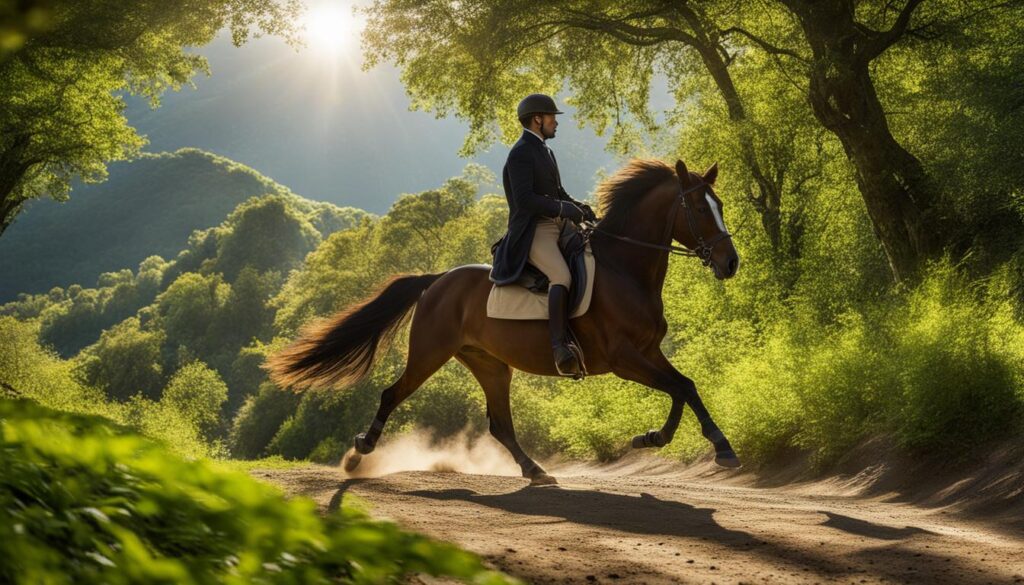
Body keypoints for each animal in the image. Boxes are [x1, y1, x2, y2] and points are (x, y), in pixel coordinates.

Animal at [262, 158, 745, 485]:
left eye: (719, 204)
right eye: (699, 209)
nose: (731, 262)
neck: (623, 269)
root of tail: (438, 280)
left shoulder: (647, 352)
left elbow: (685, 387)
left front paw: (667, 440)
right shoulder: (624, 358)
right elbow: (680, 387)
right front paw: (700, 444)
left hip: (490, 364)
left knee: (500, 425)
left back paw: (535, 470)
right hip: (429, 353)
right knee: (392, 394)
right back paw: (360, 452)